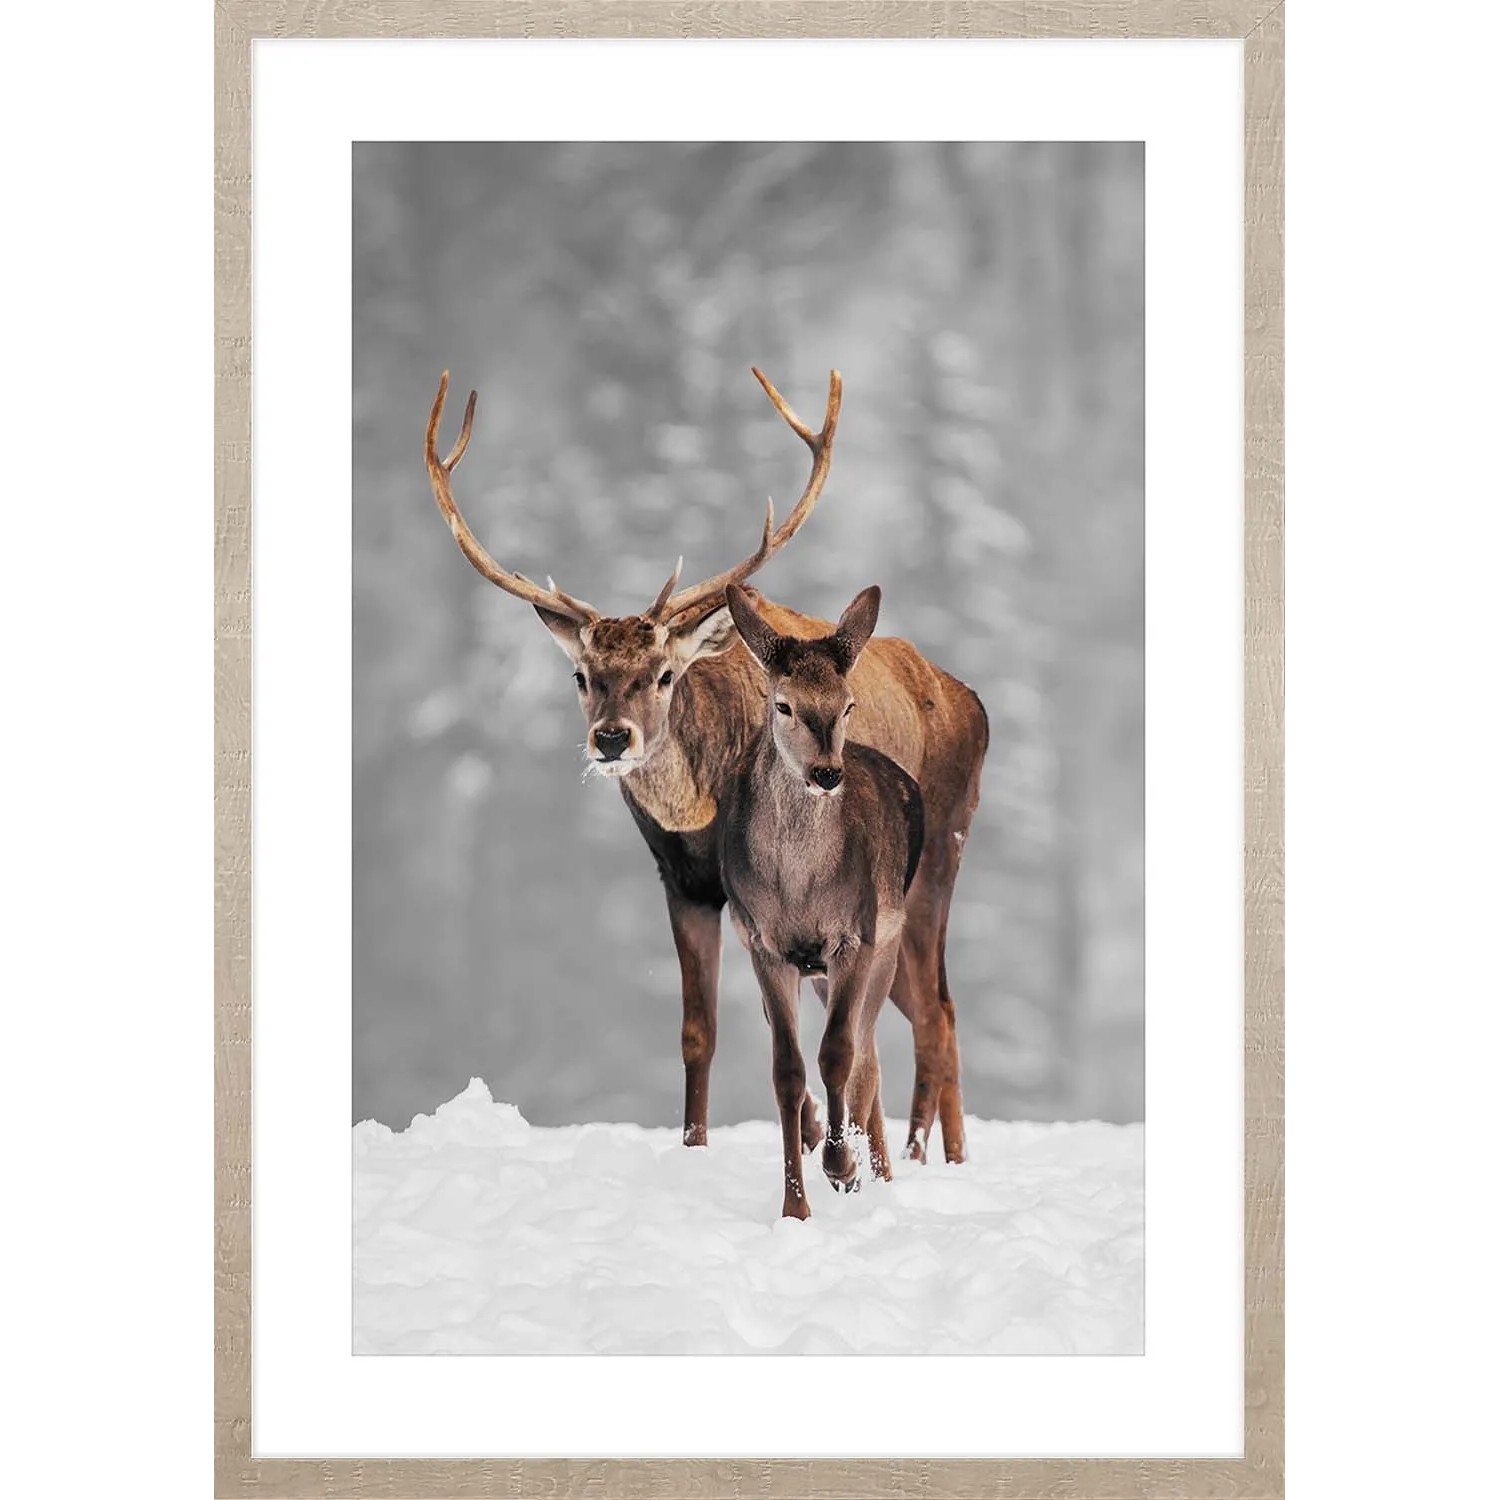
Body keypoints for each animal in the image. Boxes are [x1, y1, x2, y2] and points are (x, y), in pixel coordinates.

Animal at [719, 583, 922, 1218]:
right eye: (783, 704)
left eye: (848, 703)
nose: (827, 773)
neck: (799, 885)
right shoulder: (763, 942)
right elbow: (787, 1071)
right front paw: (794, 1208)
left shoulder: (854, 935)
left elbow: (837, 1054)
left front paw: (841, 1164)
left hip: (887, 944)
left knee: (867, 1059)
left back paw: (874, 1173)